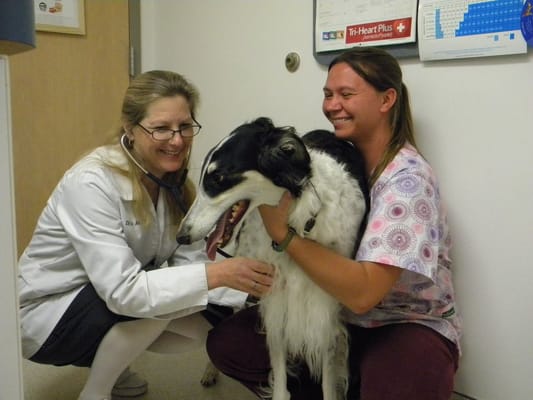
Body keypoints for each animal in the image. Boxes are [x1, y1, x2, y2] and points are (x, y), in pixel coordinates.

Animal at [177, 117, 368, 398]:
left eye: (219, 178)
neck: (298, 222)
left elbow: (328, 379)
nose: (181, 236)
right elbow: (279, 374)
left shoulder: (324, 304)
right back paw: (211, 371)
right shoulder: (276, 293)